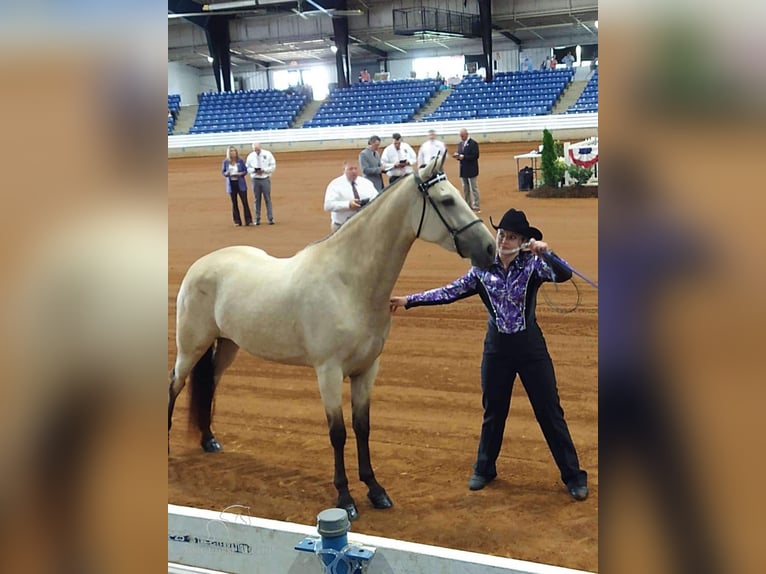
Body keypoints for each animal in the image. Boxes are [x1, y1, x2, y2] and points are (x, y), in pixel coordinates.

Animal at [168, 153, 498, 520]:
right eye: (447, 200)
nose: (490, 249)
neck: (348, 282)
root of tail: (200, 265)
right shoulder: (328, 372)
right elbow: (337, 433)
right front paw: (345, 498)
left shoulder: (366, 370)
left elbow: (362, 427)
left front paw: (376, 490)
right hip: (190, 347)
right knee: (174, 385)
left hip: (227, 346)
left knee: (209, 384)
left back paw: (209, 440)